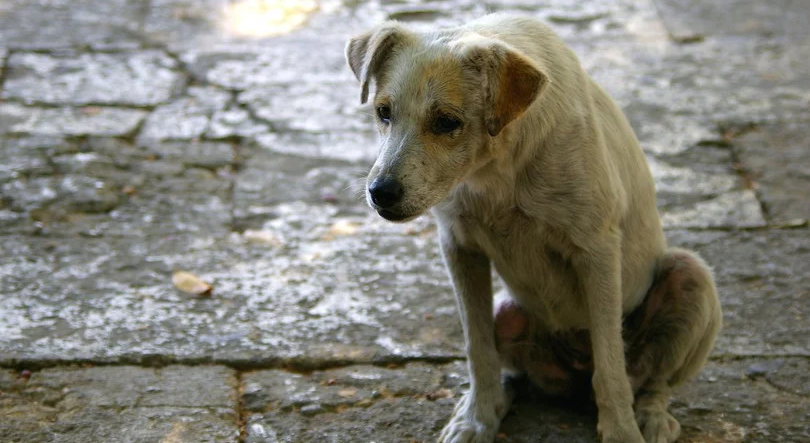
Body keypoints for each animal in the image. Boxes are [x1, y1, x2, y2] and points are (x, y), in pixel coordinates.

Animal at [344, 13, 724, 443]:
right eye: (383, 112)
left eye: (446, 122)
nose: (380, 193)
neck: (497, 169)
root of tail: (572, 378)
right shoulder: (460, 247)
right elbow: (478, 349)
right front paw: (477, 418)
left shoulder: (597, 252)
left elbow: (611, 365)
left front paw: (621, 431)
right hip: (509, 311)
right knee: (513, 369)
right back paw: (499, 400)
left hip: (690, 275)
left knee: (651, 382)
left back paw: (652, 416)